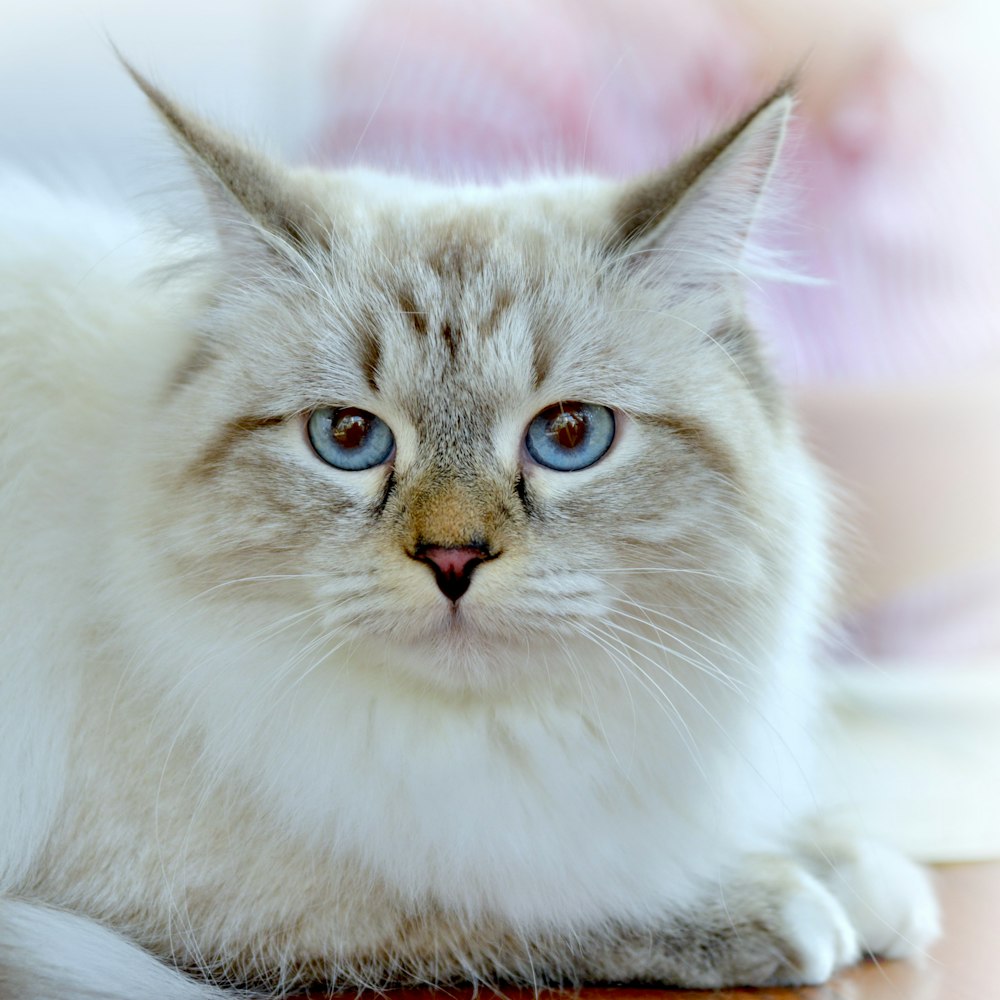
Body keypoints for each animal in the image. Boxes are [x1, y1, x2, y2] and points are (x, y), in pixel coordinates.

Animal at [0, 64, 936, 1000]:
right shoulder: (212, 876)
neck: (471, 738)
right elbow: (536, 897)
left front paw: (858, 875)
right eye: (349, 437)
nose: (453, 557)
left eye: (570, 436)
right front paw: (780, 902)